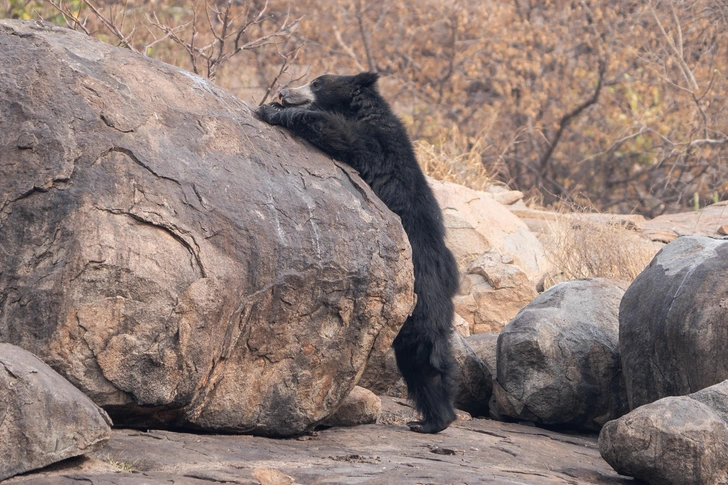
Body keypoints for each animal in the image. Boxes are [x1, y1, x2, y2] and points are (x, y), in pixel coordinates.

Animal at [258, 71, 458, 432]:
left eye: (317, 82)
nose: (282, 91)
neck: (363, 109)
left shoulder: (374, 143)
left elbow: (337, 133)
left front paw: (270, 111)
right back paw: (434, 418)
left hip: (417, 306)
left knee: (421, 358)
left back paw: (432, 420)